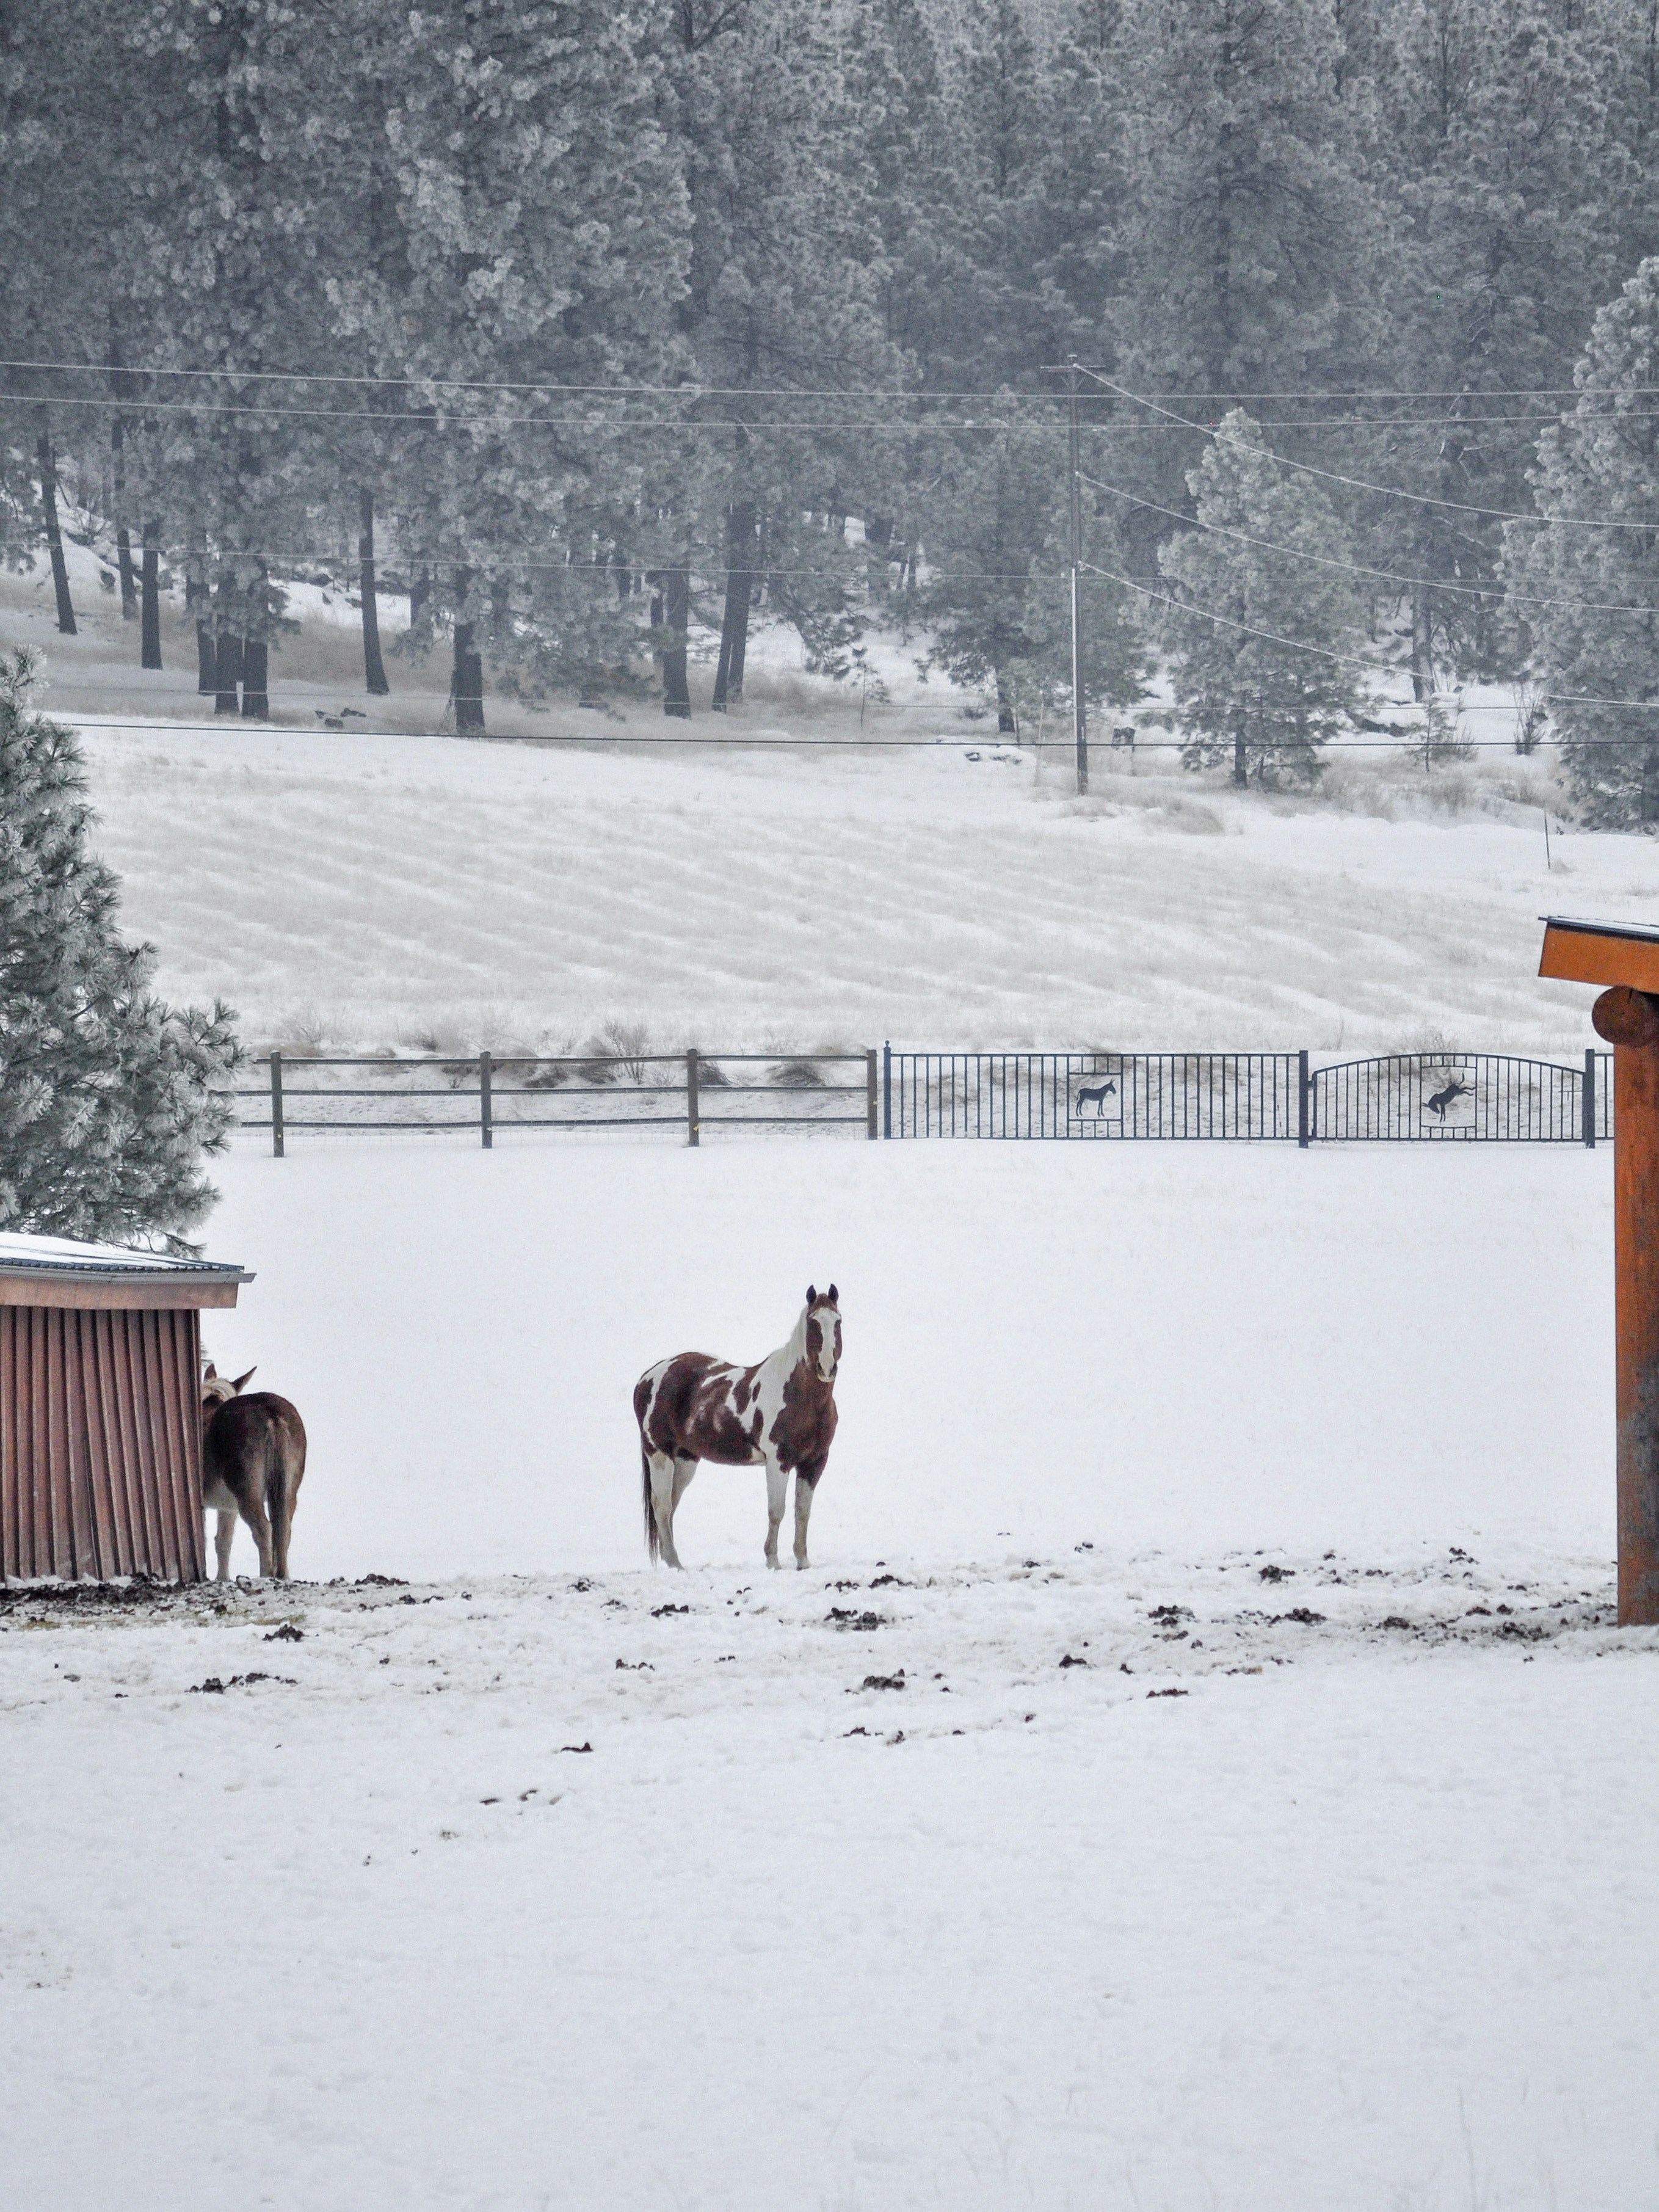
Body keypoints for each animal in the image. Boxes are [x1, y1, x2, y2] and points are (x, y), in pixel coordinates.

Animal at [199, 1362, 309, 1581]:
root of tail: (271, 1412)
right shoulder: (228, 1507)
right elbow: (223, 1540)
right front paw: (223, 1579)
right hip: (288, 1492)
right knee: (283, 1530)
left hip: (247, 1492)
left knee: (264, 1529)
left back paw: (266, 1575)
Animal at [635, 1286, 841, 1571]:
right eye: (813, 1322)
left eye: (838, 1321)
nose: (827, 1367)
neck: (799, 1396)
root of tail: (647, 1377)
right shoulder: (778, 1462)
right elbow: (776, 1511)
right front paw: (773, 1563)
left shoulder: (815, 1462)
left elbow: (803, 1512)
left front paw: (803, 1563)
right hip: (658, 1453)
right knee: (662, 1505)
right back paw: (676, 1564)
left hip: (686, 1459)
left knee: (671, 1505)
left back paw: (671, 1560)